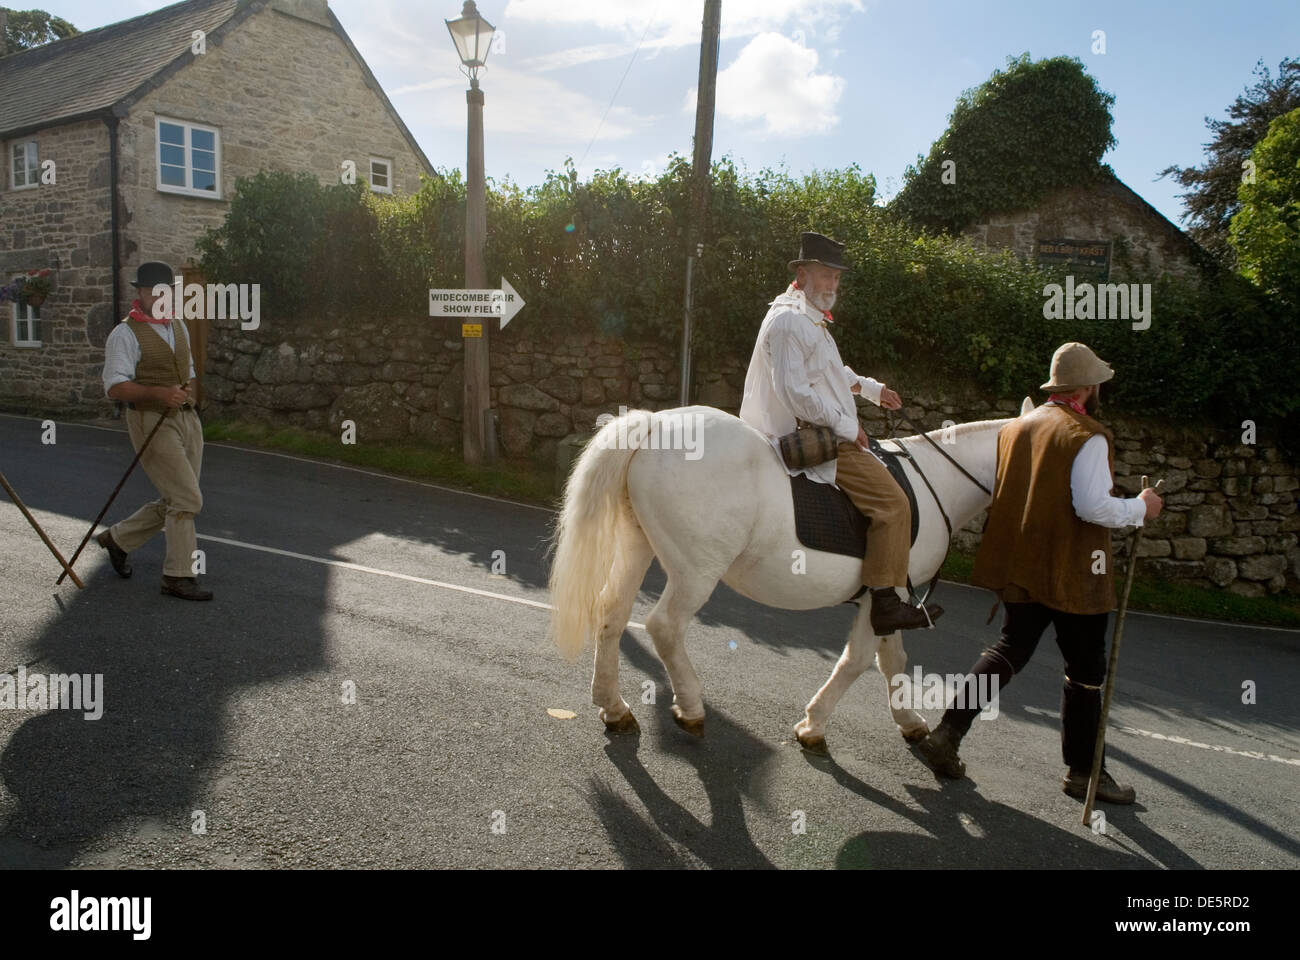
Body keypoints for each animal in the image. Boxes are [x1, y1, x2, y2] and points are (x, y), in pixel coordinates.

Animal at [548, 400, 1034, 749]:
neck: (937, 483)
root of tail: (654, 425)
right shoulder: (886, 592)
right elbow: (858, 660)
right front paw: (813, 726)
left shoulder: (888, 600)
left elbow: (891, 660)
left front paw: (910, 722)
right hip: (696, 571)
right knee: (664, 627)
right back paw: (690, 708)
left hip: (638, 545)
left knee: (611, 614)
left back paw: (613, 707)